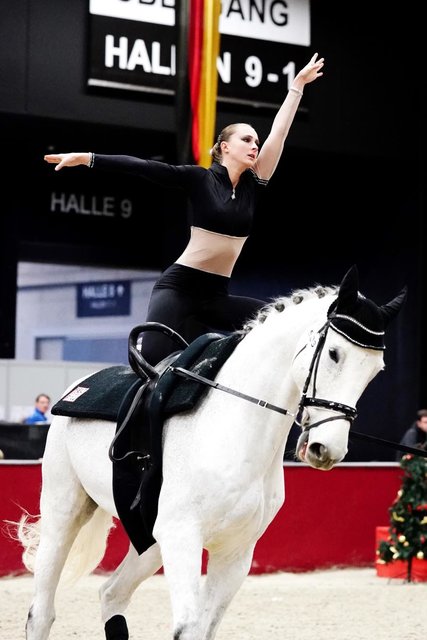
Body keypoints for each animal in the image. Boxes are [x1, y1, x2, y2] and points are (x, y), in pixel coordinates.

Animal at [17, 265, 406, 640]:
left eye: (376, 371)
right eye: (334, 354)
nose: (328, 449)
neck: (234, 427)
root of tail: (78, 387)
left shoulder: (235, 551)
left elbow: (207, 626)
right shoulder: (182, 537)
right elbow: (187, 627)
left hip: (149, 541)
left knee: (112, 594)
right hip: (64, 512)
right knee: (42, 612)